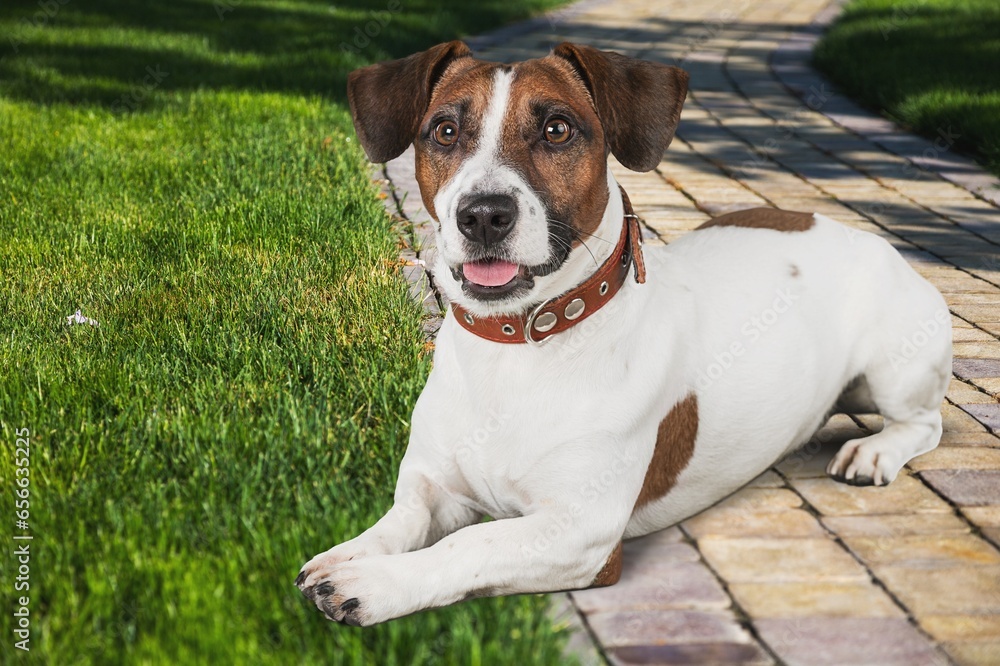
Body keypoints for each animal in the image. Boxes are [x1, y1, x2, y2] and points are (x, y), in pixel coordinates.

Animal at [292, 42, 948, 628]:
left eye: (557, 129)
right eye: (445, 131)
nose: (482, 215)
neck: (518, 347)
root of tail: (854, 229)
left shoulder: (579, 534)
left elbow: (467, 545)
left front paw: (373, 584)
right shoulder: (435, 488)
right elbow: (399, 522)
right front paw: (347, 555)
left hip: (896, 366)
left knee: (925, 424)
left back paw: (872, 452)